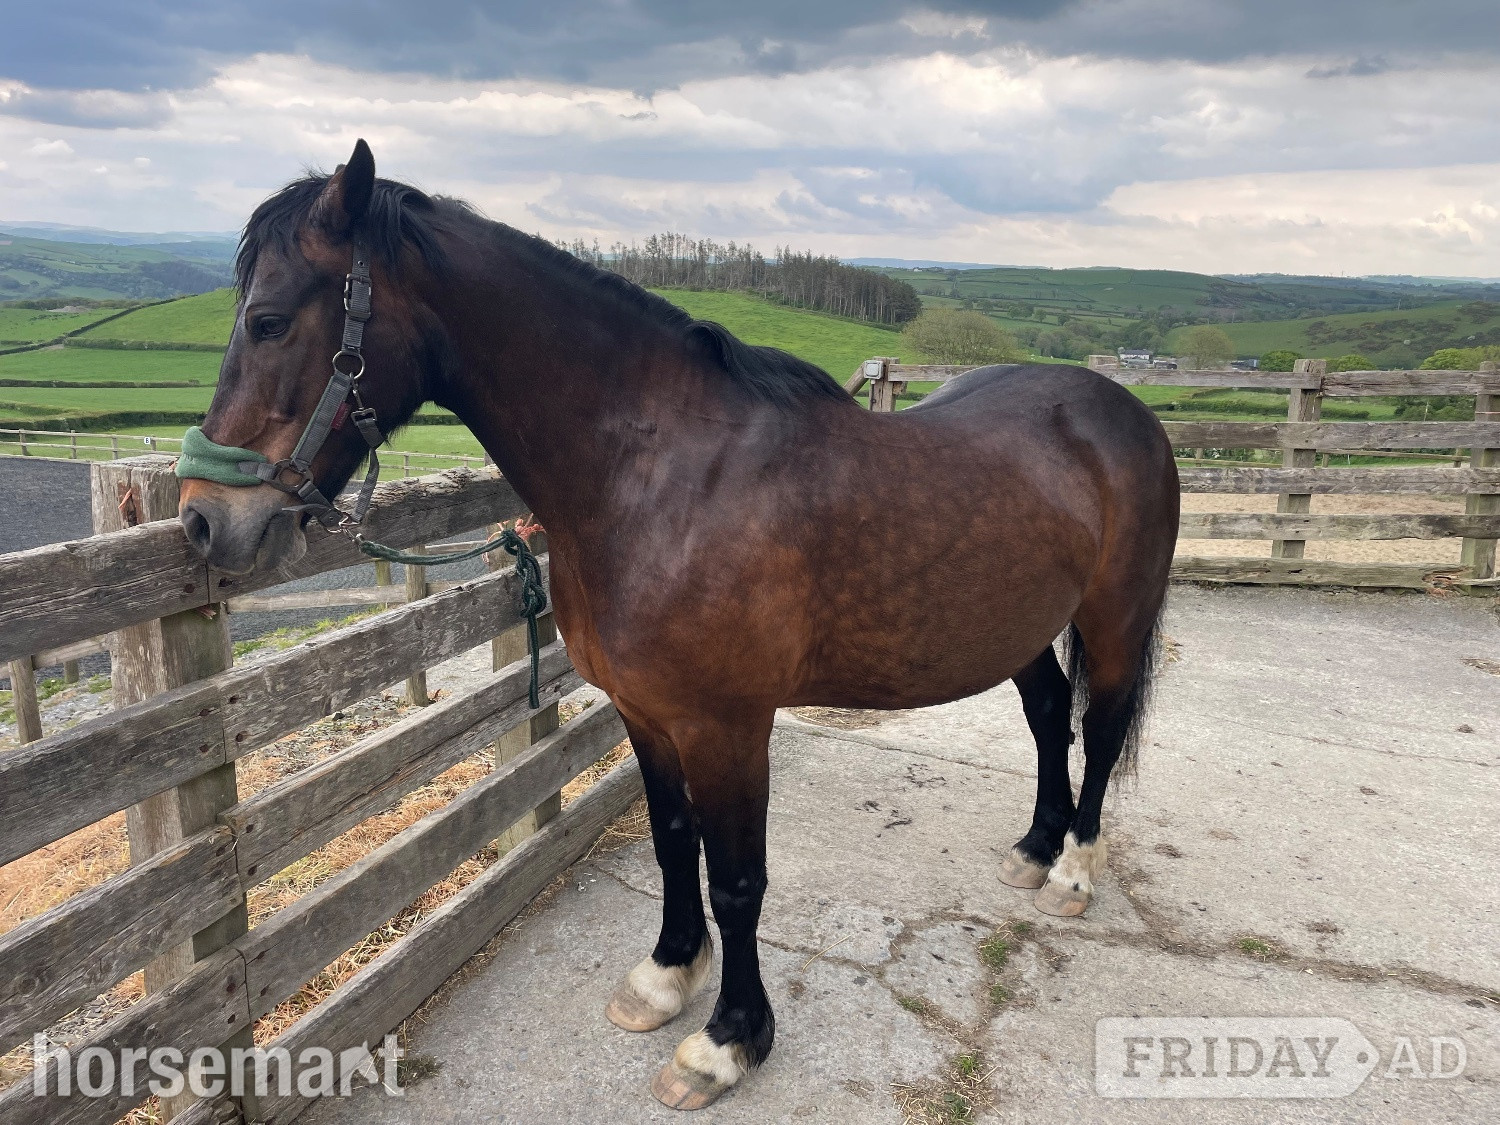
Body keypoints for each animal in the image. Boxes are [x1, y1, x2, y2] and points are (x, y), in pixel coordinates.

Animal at [177, 140, 1179, 1110]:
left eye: (269, 321)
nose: (203, 522)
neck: (660, 477)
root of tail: (1121, 410)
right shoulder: (645, 711)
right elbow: (671, 842)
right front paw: (665, 978)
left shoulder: (725, 725)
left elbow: (736, 880)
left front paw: (727, 1041)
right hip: (1017, 628)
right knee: (1048, 718)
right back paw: (1035, 848)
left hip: (1115, 620)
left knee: (1100, 728)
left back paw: (1074, 872)